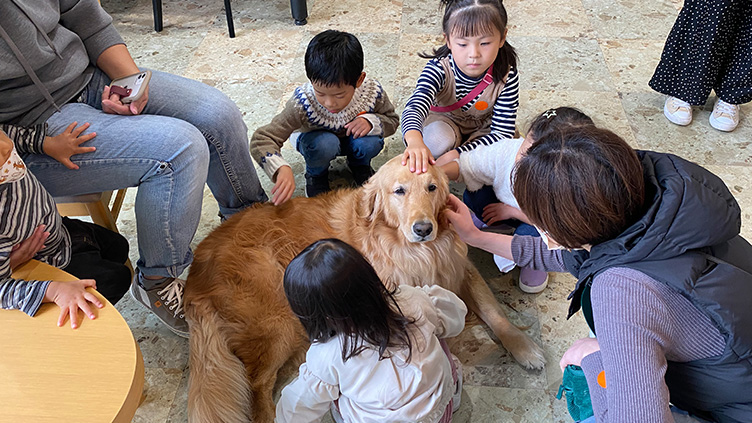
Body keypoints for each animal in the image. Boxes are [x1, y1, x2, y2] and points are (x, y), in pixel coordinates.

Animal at [182, 157, 548, 423]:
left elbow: (494, 311)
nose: (423, 228)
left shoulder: (459, 266)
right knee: (257, 384)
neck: (412, 249)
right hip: (277, 318)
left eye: (431, 187)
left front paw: (524, 347)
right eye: (399, 191)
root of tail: (195, 271)